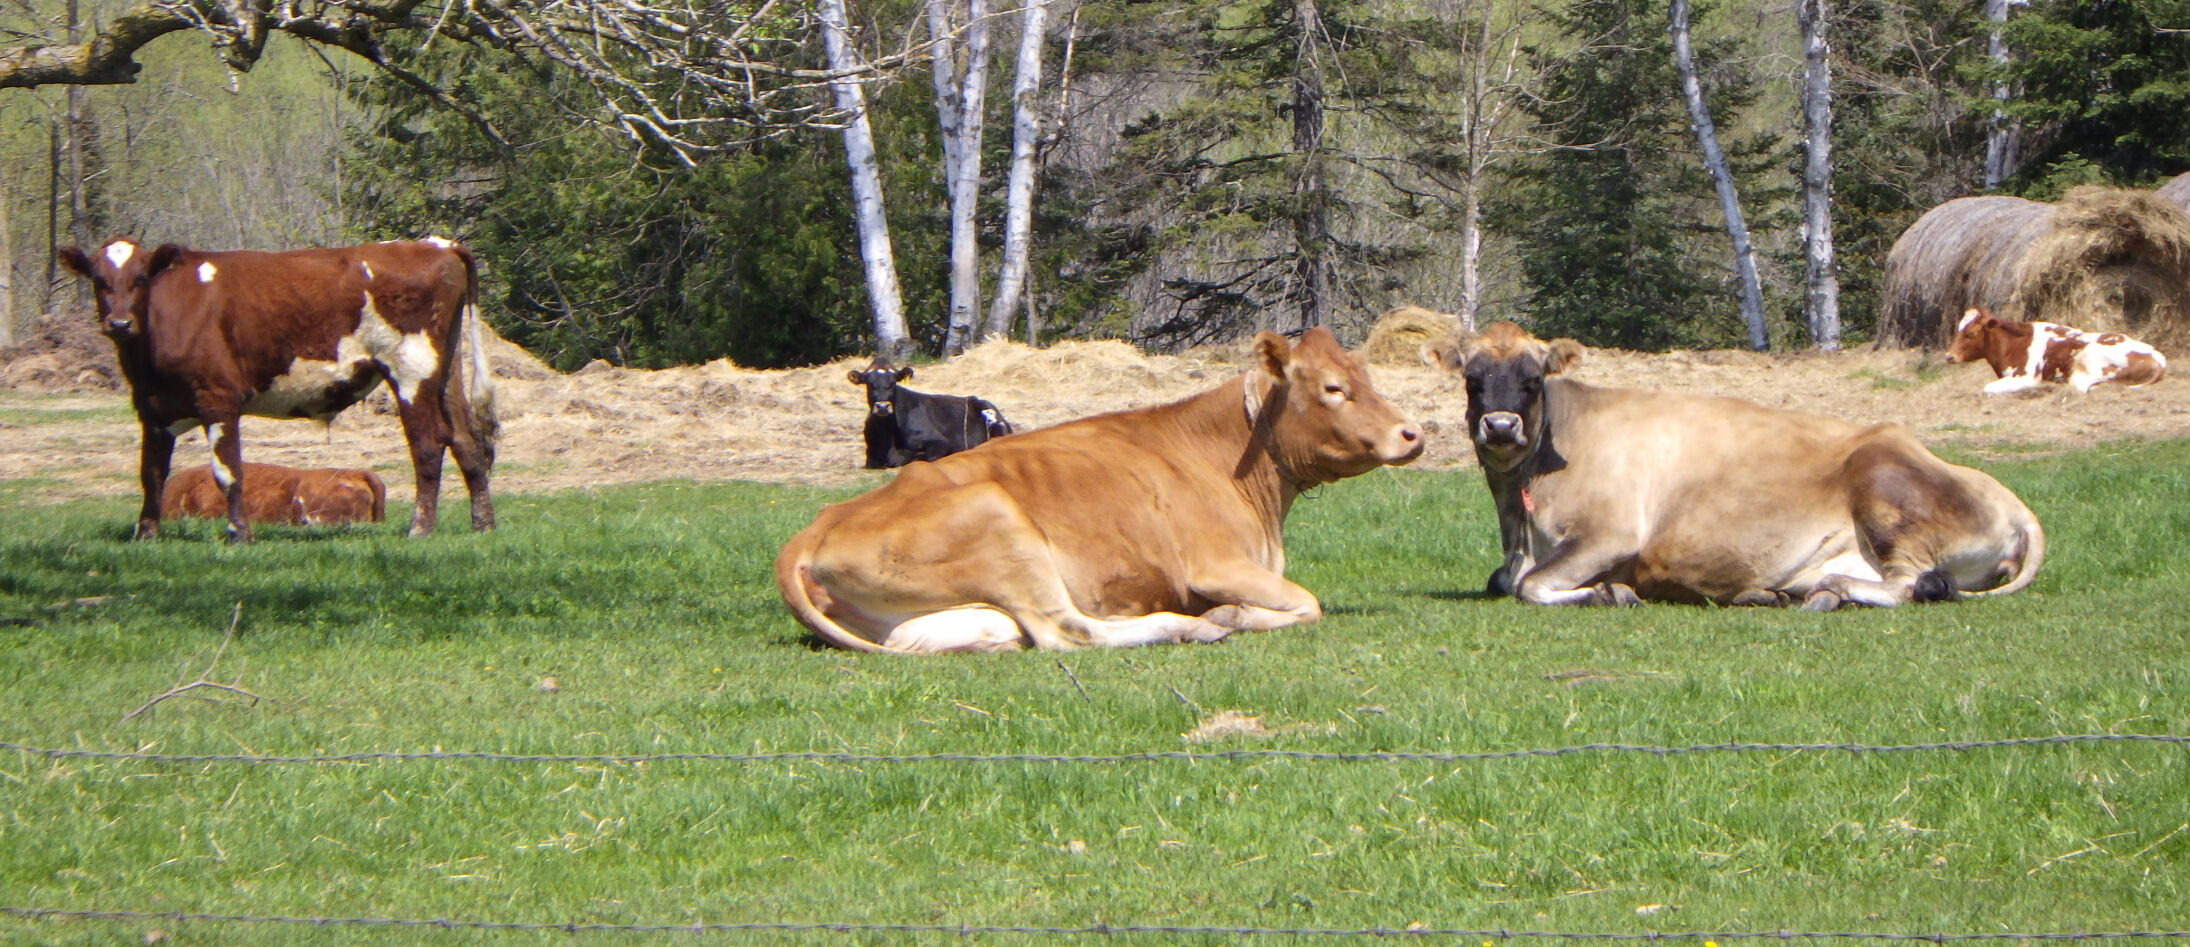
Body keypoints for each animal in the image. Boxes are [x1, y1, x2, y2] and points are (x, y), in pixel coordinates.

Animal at [847, 359, 1014, 468]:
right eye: (869, 384)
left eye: (893, 382)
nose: (882, 406)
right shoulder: (871, 455)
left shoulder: (940, 442)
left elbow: (922, 456)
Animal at [1433, 321, 2043, 610]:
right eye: (1473, 380)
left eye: (1533, 381)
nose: (1501, 426)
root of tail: (2012, 501)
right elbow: (1503, 579)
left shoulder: (1610, 534)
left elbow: (1529, 585)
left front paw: (1610, 592)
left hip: (1887, 490)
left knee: (1910, 582)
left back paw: (1831, 589)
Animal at [1944, 308, 2168, 395]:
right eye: (1958, 329)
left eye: (1971, 333)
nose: (1949, 356)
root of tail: (2158, 358)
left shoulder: (2027, 376)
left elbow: (1988, 388)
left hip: (2086, 362)